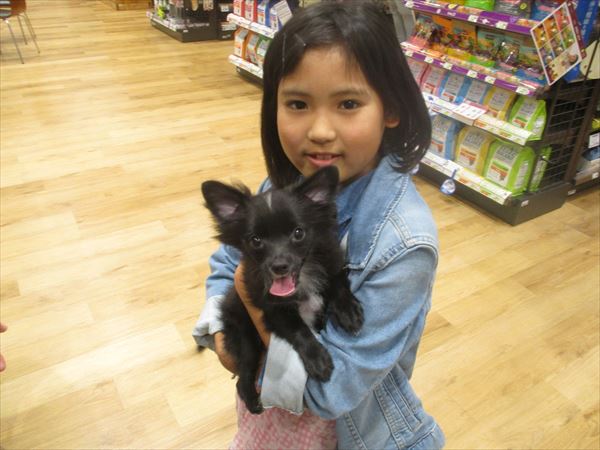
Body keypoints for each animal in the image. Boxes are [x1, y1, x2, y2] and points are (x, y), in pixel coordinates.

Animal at [201, 166, 364, 414]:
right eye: (255, 240)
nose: (279, 266)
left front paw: (348, 310)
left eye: (298, 233)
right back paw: (253, 401)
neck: (303, 279)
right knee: (244, 376)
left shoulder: (331, 262)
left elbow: (337, 283)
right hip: (246, 340)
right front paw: (317, 358)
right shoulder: (272, 310)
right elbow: (298, 329)